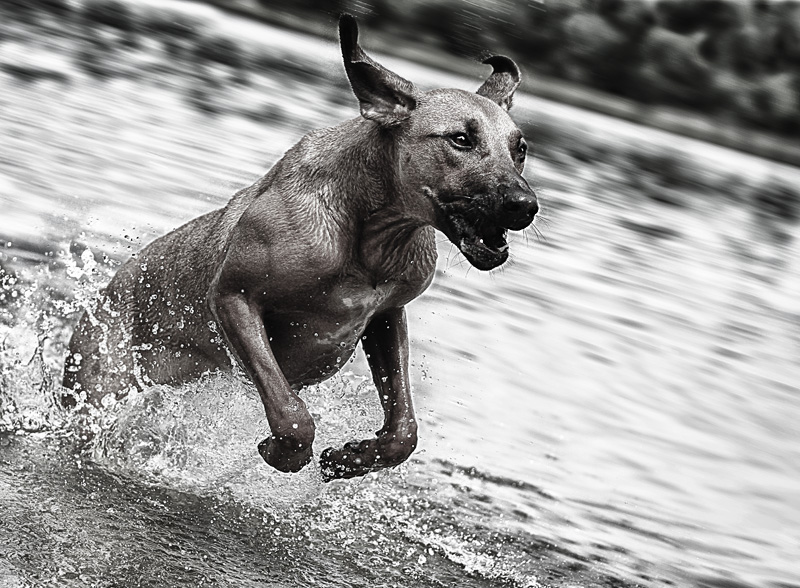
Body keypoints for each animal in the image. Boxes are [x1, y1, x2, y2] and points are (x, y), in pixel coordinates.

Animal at [61, 14, 536, 482]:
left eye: (521, 149)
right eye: (460, 139)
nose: (525, 205)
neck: (369, 235)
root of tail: (109, 289)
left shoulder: (387, 314)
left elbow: (405, 430)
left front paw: (351, 457)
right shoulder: (234, 296)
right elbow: (291, 413)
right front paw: (284, 452)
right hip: (97, 384)